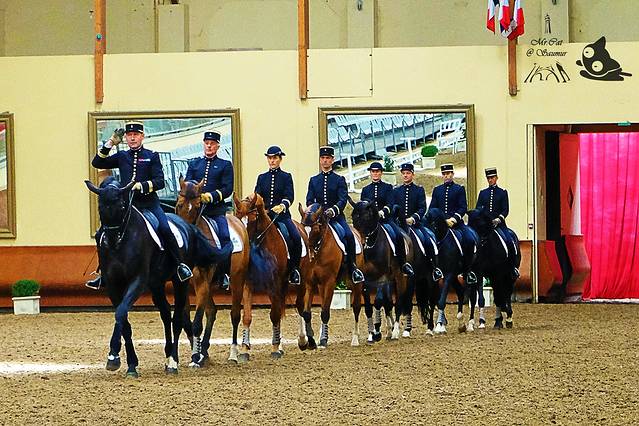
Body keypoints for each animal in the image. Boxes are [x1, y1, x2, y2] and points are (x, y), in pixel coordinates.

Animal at [85, 177, 218, 376]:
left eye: (122, 206)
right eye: (100, 207)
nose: (111, 240)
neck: (122, 242)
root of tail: (188, 226)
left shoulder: (138, 281)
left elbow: (121, 312)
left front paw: (113, 355)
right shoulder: (113, 286)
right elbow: (124, 321)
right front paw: (130, 364)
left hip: (180, 282)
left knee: (177, 319)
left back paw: (173, 362)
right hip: (157, 284)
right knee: (165, 314)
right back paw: (168, 354)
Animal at [174, 177, 251, 366]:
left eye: (197, 206)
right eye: (179, 204)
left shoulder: (202, 281)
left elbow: (196, 322)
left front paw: (196, 357)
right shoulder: (184, 283)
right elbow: (187, 321)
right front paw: (197, 352)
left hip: (237, 279)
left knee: (234, 315)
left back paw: (233, 354)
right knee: (212, 311)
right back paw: (205, 349)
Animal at [234, 192, 310, 358]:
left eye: (252, 220)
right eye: (236, 217)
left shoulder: (275, 283)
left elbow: (274, 315)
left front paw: (274, 348)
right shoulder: (248, 283)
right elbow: (247, 317)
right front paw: (244, 349)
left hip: (300, 281)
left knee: (299, 306)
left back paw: (303, 341)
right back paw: (281, 345)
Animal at [298, 202, 365, 347]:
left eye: (316, 230)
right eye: (302, 228)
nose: (309, 257)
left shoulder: (329, 282)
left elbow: (324, 313)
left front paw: (323, 340)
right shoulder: (310, 283)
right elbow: (307, 313)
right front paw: (312, 340)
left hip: (355, 283)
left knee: (356, 307)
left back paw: (355, 338)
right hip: (322, 285)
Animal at [349, 199, 412, 342]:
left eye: (367, 217)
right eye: (353, 217)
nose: (360, 241)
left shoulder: (381, 277)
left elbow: (378, 301)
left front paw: (377, 332)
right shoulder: (365, 279)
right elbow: (369, 306)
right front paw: (372, 334)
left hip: (401, 277)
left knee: (399, 301)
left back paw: (395, 332)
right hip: (390, 280)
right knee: (388, 303)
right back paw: (389, 330)